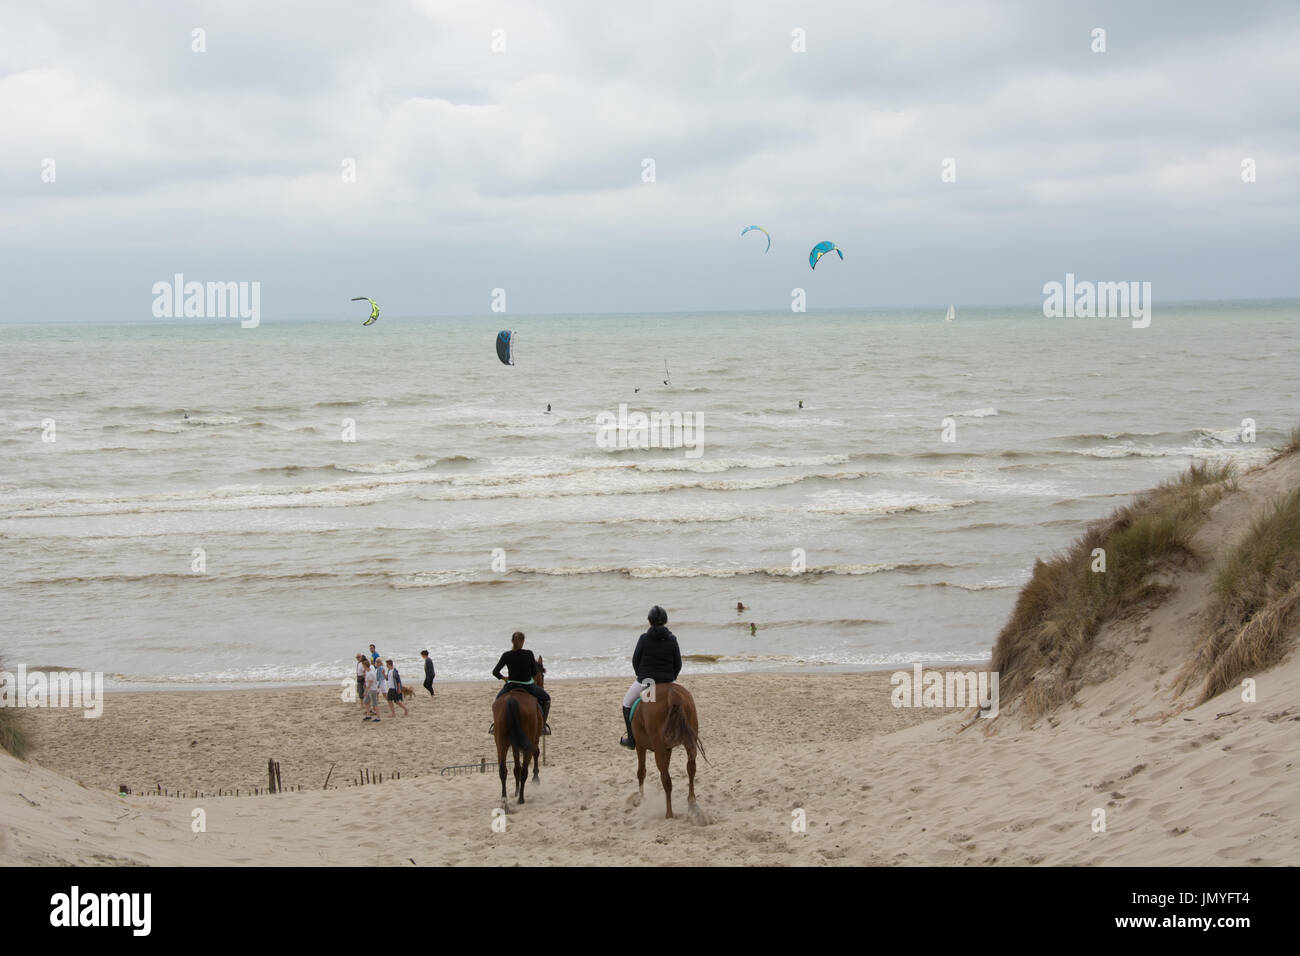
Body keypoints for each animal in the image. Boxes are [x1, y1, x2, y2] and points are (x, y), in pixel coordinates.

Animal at [491, 655, 543, 806]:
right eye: (542, 675)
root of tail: (512, 700)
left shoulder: (514, 743)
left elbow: (516, 767)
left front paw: (515, 790)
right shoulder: (535, 739)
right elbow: (536, 753)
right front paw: (535, 778)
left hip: (501, 743)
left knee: (503, 770)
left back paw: (504, 799)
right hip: (528, 741)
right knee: (524, 769)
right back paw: (521, 798)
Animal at [631, 681, 707, 822]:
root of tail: (673, 693)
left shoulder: (640, 745)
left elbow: (641, 772)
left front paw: (641, 799)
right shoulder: (668, 749)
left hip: (659, 748)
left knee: (666, 779)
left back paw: (669, 813)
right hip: (689, 741)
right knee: (691, 768)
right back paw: (692, 803)